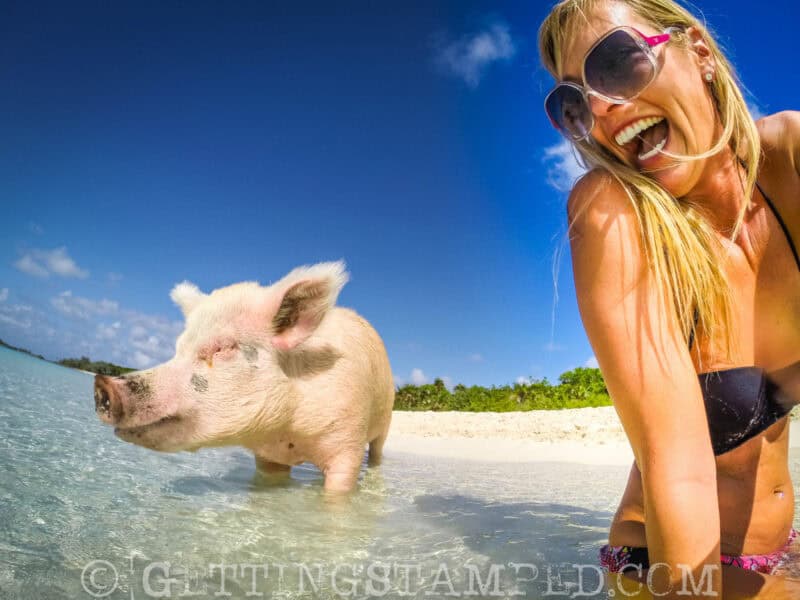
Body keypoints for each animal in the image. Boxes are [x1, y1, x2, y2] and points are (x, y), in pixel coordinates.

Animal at [94, 262, 394, 492]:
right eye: (178, 349)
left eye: (223, 347)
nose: (102, 384)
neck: (289, 434)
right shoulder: (268, 456)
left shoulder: (347, 442)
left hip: (385, 420)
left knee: (377, 452)